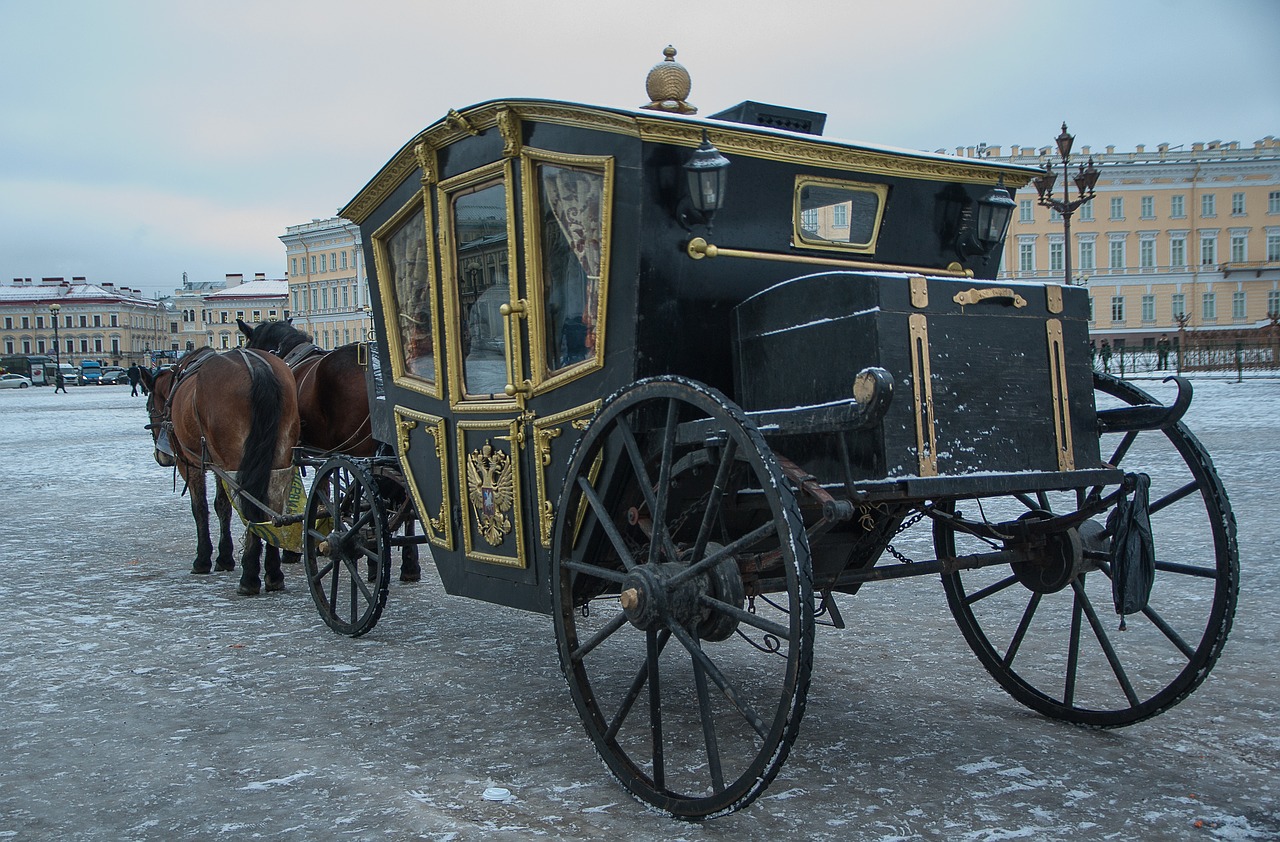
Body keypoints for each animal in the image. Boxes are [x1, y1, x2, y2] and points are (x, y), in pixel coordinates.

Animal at [141, 345, 300, 593]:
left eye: (149, 407)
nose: (161, 457)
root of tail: (258, 367)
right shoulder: (218, 465)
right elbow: (222, 506)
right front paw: (225, 557)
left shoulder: (192, 463)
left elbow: (200, 508)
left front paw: (203, 559)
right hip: (278, 456)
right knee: (271, 507)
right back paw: (273, 574)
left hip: (235, 459)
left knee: (251, 505)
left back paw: (249, 576)